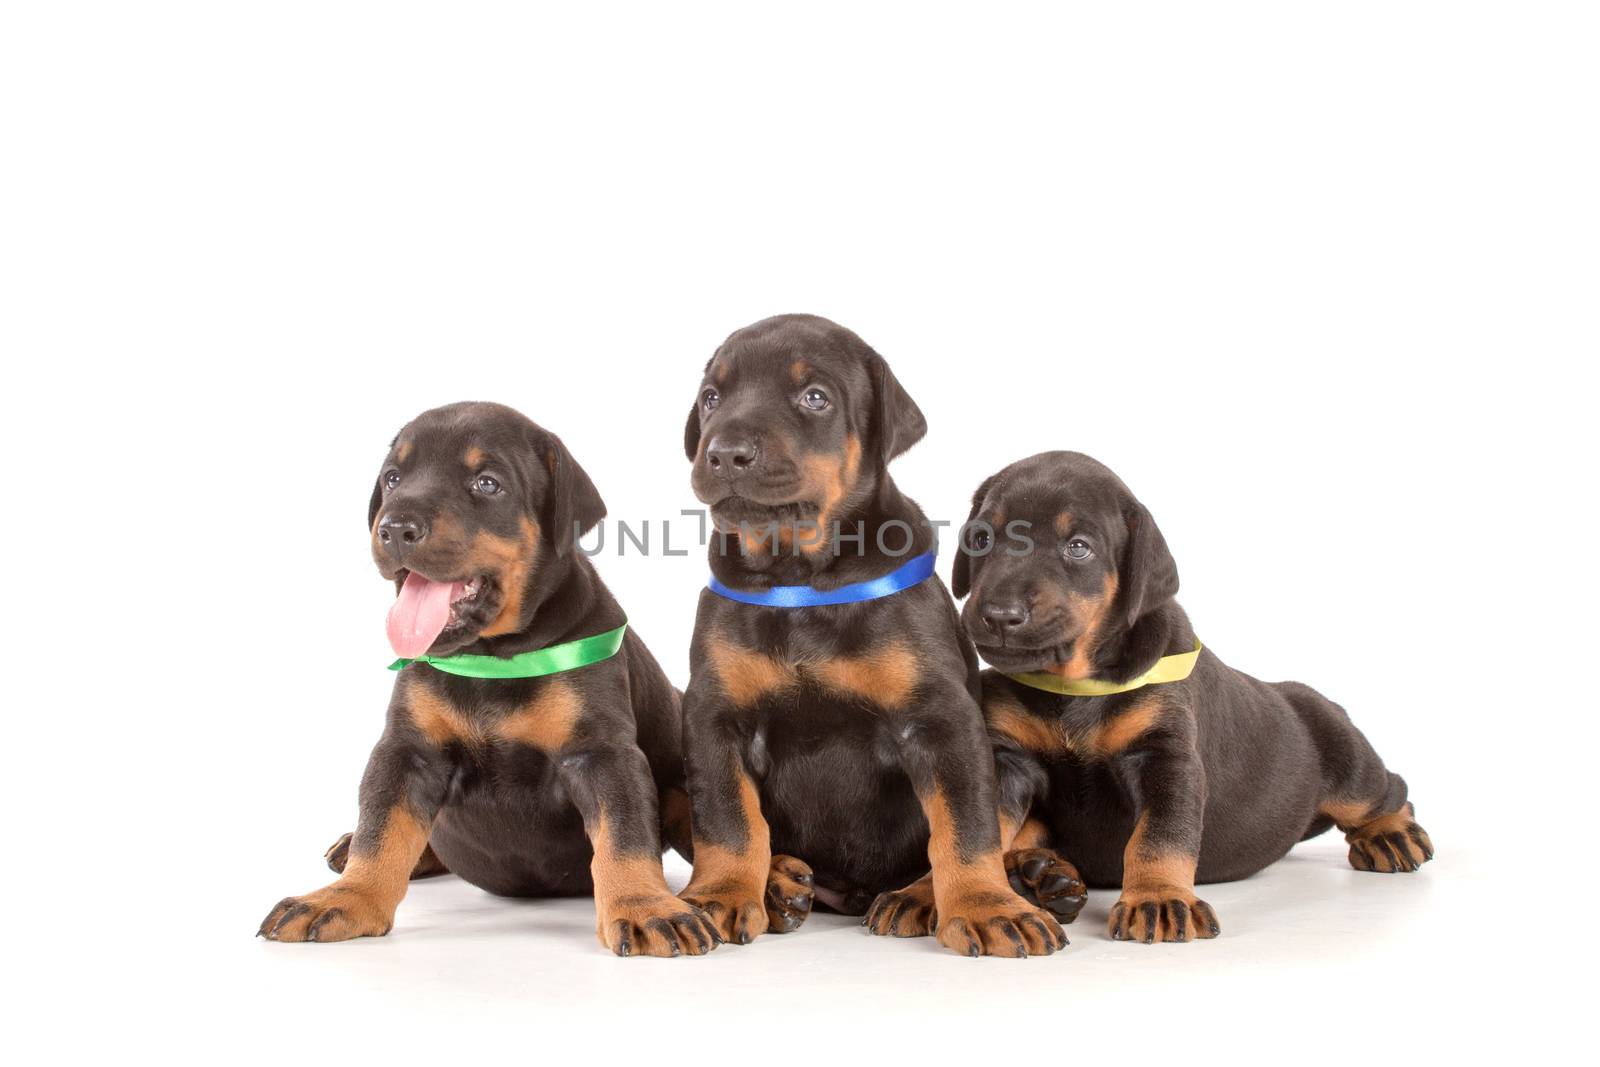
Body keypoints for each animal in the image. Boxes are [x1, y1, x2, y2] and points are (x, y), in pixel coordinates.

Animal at [257, 403, 736, 959]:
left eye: (487, 484)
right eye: (393, 479)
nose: (395, 527)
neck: (494, 656)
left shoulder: (601, 754)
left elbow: (625, 834)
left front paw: (645, 906)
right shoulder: (407, 752)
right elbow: (382, 831)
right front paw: (344, 898)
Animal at [675, 315, 1062, 959]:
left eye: (815, 397)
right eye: (711, 398)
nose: (725, 453)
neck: (801, 578)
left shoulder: (941, 719)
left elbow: (965, 826)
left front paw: (986, 906)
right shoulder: (714, 715)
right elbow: (729, 821)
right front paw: (723, 895)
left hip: (1009, 763)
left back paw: (984, 889)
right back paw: (781, 885)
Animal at [940, 451, 1433, 940]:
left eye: (1078, 546)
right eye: (981, 538)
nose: (999, 615)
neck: (1073, 685)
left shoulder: (1166, 757)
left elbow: (1159, 837)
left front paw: (1157, 898)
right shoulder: (1009, 761)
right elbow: (978, 828)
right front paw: (938, 894)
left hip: (1343, 755)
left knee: (1386, 790)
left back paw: (1392, 835)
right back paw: (1038, 875)